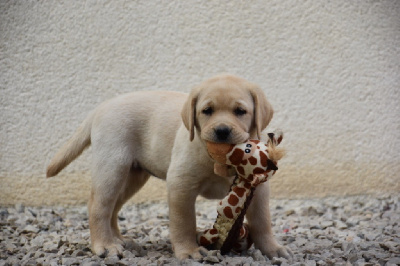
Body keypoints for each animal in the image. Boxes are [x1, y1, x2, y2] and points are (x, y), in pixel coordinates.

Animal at [46, 74, 290, 260]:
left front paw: (272, 249)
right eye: (207, 111)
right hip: (112, 167)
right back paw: (105, 245)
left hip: (132, 176)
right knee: (99, 206)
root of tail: (101, 107)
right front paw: (189, 251)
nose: (221, 131)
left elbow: (262, 221)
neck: (221, 158)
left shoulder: (258, 188)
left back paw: (119, 240)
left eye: (240, 111)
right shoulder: (181, 184)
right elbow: (184, 221)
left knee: (113, 208)